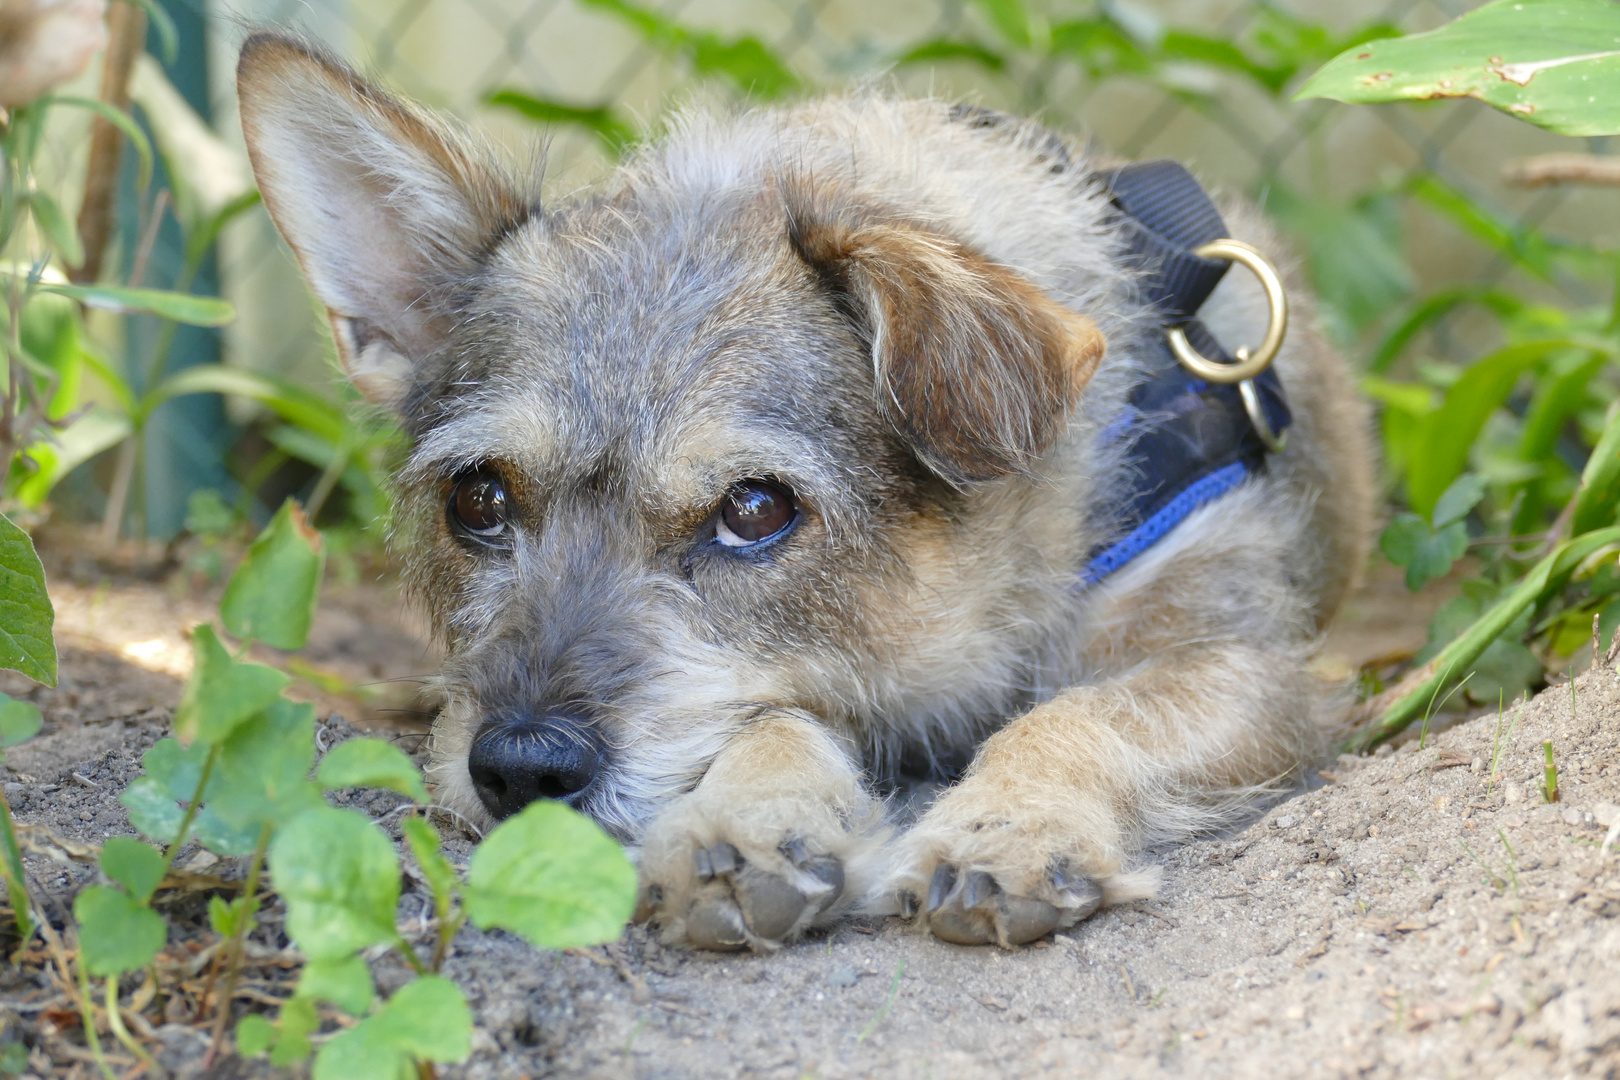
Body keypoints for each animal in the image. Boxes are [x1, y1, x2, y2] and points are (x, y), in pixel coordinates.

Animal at [236, 29, 1367, 952]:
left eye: (754, 510)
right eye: (477, 499)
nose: (519, 767)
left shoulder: (1245, 666)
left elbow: (1079, 716)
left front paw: (1010, 823)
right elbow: (774, 712)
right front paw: (750, 821)